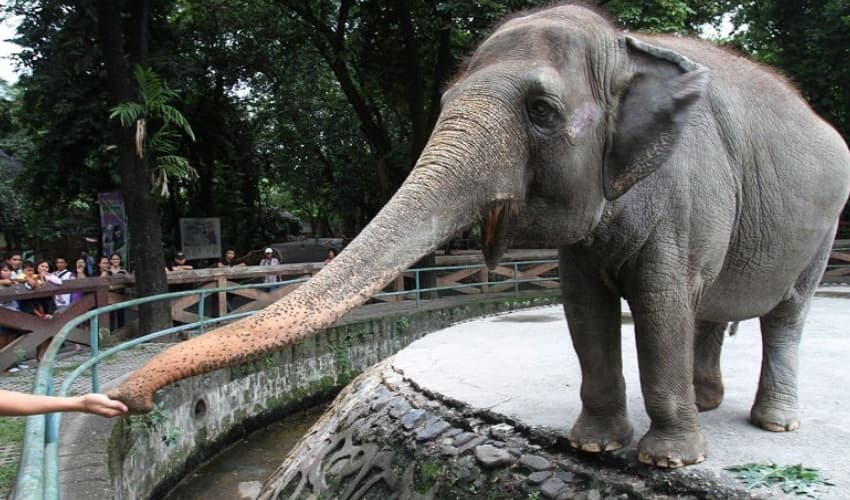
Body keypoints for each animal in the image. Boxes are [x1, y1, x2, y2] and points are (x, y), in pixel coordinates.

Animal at [109, 4, 850, 468]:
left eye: (543, 111)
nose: (122, 400)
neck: (626, 44)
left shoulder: (685, 195)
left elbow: (661, 304)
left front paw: (667, 460)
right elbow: (584, 310)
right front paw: (592, 446)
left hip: (825, 224)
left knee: (786, 313)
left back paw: (772, 422)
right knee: (712, 309)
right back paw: (708, 402)